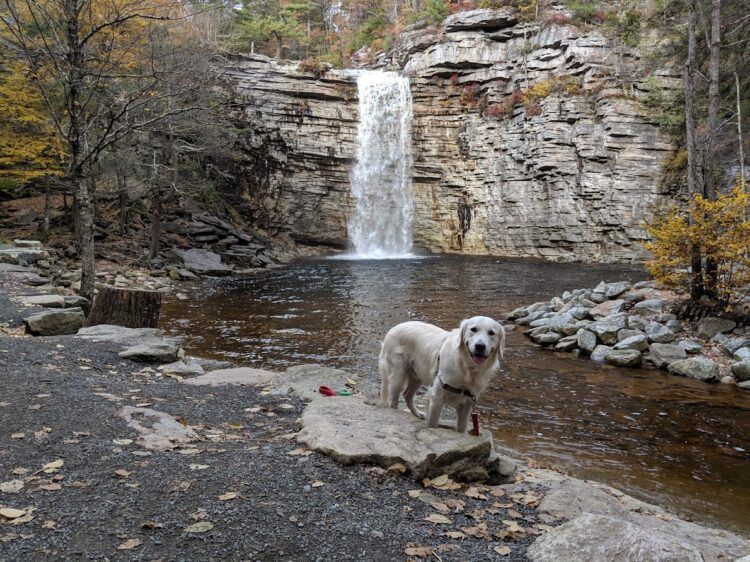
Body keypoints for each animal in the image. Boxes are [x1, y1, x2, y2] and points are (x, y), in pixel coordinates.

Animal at [378, 318, 508, 430]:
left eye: (491, 333)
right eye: (473, 329)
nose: (480, 346)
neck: (467, 367)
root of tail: (392, 329)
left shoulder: (468, 402)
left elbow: (462, 428)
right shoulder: (437, 396)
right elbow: (432, 423)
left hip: (417, 375)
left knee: (407, 394)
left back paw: (418, 414)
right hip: (398, 375)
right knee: (394, 399)